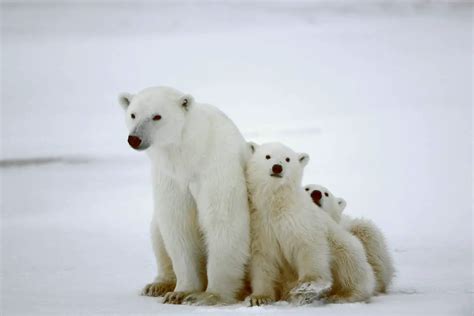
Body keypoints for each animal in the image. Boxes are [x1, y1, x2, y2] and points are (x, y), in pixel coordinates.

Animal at [118, 86, 252, 304]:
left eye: (157, 116)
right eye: (133, 114)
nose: (134, 139)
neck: (190, 153)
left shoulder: (217, 167)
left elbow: (223, 220)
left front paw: (209, 295)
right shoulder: (170, 177)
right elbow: (178, 224)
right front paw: (180, 292)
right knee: (157, 232)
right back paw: (157, 285)